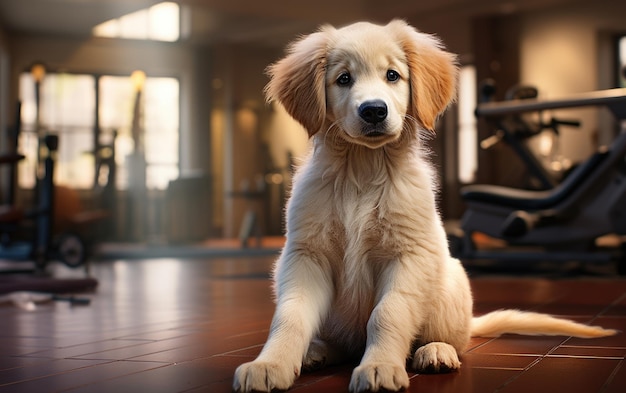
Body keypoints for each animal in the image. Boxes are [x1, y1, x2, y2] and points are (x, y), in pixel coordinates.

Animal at [232, 20, 612, 392]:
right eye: (343, 79)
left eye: (392, 75)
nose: (374, 111)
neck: (362, 170)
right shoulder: (305, 255)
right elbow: (289, 317)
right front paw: (270, 364)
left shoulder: (409, 255)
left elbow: (387, 314)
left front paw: (380, 366)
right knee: (337, 341)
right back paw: (317, 350)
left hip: (450, 281)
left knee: (449, 339)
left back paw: (436, 351)